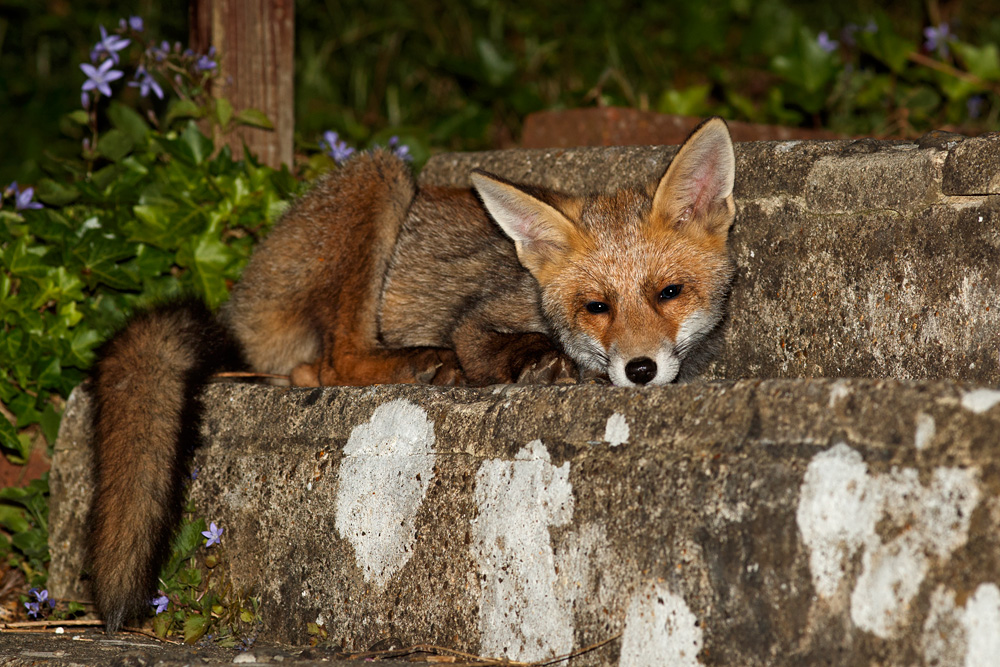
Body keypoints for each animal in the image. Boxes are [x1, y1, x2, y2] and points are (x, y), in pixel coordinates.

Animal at [87, 117, 736, 631]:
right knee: (333, 361)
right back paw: (423, 364)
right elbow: (499, 346)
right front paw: (551, 364)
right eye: (596, 306)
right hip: (379, 177)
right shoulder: (477, 321)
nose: (640, 369)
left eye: (670, 292)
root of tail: (236, 303)